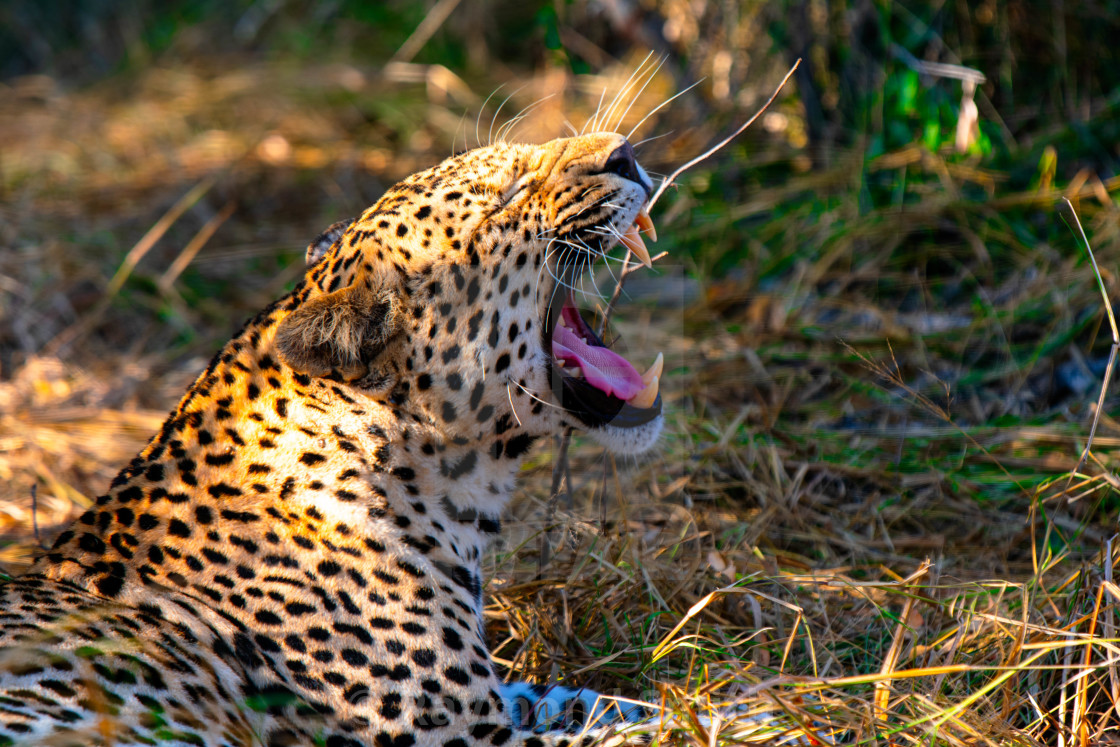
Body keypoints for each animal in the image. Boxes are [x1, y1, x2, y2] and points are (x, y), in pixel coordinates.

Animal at [0, 131, 663, 743]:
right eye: (507, 194)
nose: (624, 153)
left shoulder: (499, 700)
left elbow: (587, 700)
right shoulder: (461, 733)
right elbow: (626, 736)